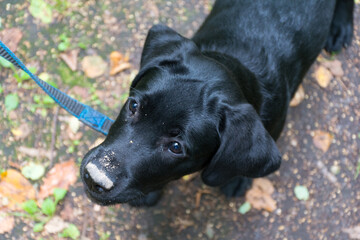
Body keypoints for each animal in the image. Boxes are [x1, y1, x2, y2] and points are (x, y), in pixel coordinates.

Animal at [80, 0, 352, 206]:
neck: (237, 59)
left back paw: (341, 26)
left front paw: (238, 179)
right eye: (134, 106)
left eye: (176, 147)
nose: (95, 177)